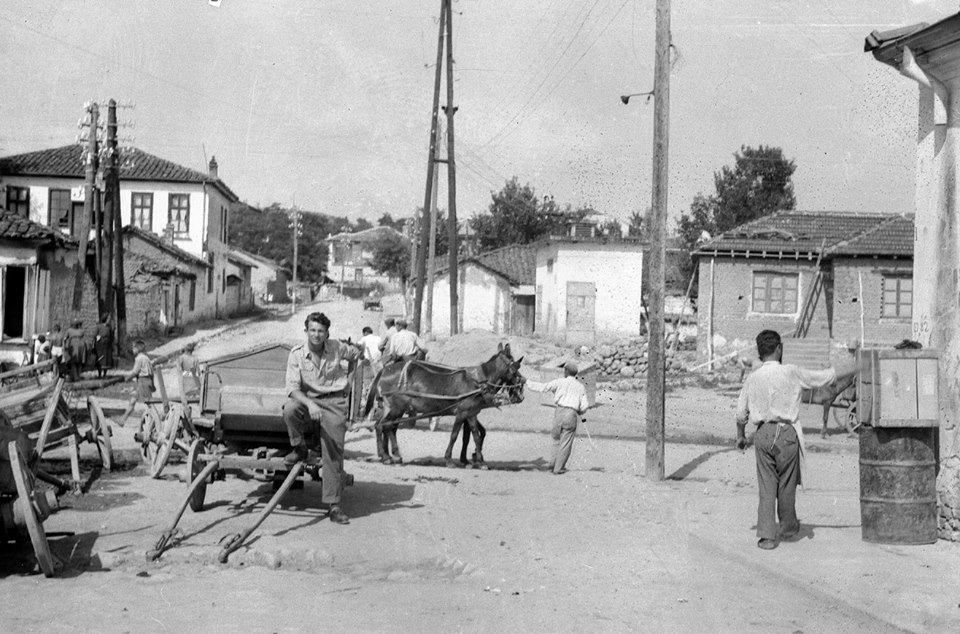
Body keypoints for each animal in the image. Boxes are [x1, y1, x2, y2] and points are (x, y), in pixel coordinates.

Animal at [364, 344, 524, 466]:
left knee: (383, 425)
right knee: (386, 426)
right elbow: (455, 435)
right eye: (515, 367)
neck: (478, 381)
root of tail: (384, 370)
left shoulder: (471, 413)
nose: (522, 384)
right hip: (397, 408)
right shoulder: (462, 413)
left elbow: (476, 436)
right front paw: (450, 459)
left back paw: (387, 455)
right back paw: (391, 456)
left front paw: (478, 460)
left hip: (393, 408)